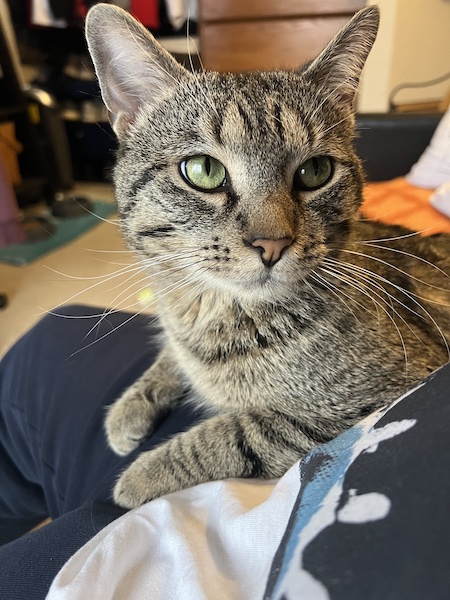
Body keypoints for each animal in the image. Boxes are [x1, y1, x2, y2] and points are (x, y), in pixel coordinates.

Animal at [85, 7, 450, 508]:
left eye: (316, 171)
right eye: (203, 170)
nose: (272, 243)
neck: (212, 315)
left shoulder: (375, 399)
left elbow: (238, 432)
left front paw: (141, 475)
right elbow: (170, 356)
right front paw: (133, 405)